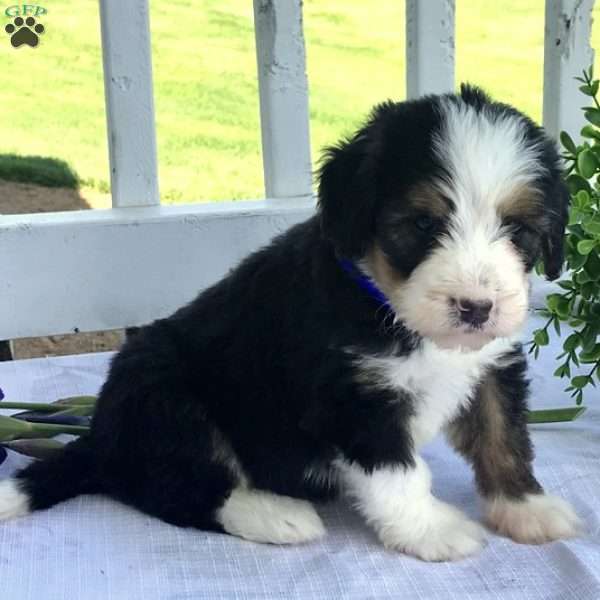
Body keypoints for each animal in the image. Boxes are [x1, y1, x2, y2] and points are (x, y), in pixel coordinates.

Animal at [0, 85, 580, 564]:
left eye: (518, 230)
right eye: (421, 224)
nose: (476, 307)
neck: (390, 307)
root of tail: (100, 438)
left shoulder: (491, 368)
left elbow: (503, 437)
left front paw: (526, 508)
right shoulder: (352, 397)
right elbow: (400, 472)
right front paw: (432, 531)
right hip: (162, 388)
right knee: (171, 487)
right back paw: (276, 514)